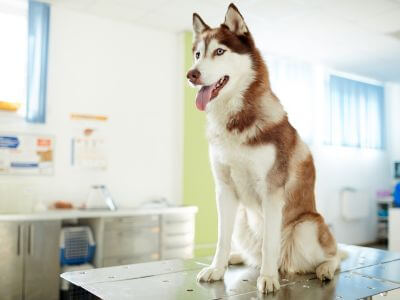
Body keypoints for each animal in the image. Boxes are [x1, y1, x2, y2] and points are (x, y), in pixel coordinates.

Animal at [186, 2, 346, 292]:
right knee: (252, 253)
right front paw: (217, 268)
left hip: (306, 229)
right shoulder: (224, 190)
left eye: (219, 51)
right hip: (242, 220)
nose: (191, 75)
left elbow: (270, 244)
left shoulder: (272, 192)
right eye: (197, 54)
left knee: (334, 254)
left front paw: (269, 279)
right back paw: (236, 258)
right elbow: (221, 239)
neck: (235, 122)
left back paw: (323, 268)